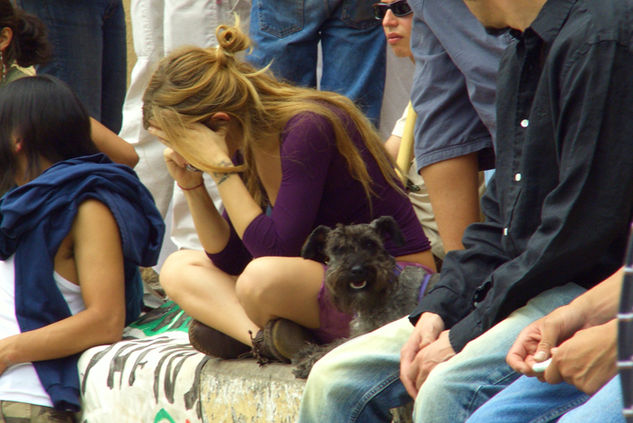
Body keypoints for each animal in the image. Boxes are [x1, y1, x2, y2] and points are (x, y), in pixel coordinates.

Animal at [290, 217, 434, 380]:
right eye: (337, 248)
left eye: (370, 244)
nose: (357, 270)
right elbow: (338, 342)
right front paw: (308, 351)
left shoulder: (369, 335)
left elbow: (338, 348)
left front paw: (310, 361)